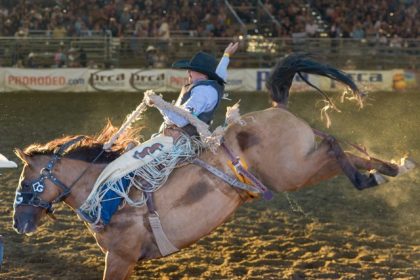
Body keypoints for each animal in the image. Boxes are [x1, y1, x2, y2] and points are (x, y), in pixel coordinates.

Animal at [12, 54, 414, 278]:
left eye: (28, 182)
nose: (19, 224)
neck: (104, 192)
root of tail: (277, 110)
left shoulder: (121, 257)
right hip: (300, 165)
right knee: (340, 148)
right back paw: (391, 169)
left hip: (292, 171)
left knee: (332, 146)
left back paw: (371, 176)